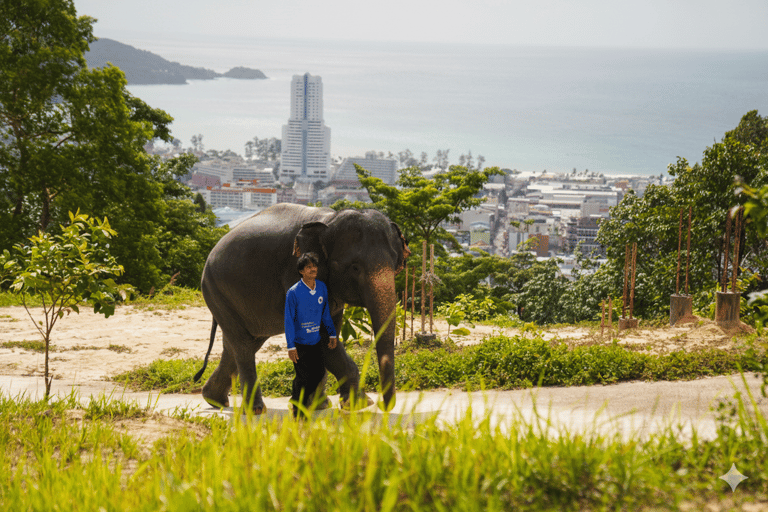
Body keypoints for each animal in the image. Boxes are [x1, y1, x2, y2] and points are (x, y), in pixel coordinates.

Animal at [194, 203, 410, 414]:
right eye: (355, 267)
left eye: (395, 264)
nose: (383, 406)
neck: (330, 220)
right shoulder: (294, 273)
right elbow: (322, 338)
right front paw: (360, 404)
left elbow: (329, 332)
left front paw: (320, 406)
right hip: (216, 291)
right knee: (242, 344)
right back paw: (255, 410)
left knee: (241, 343)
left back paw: (215, 400)